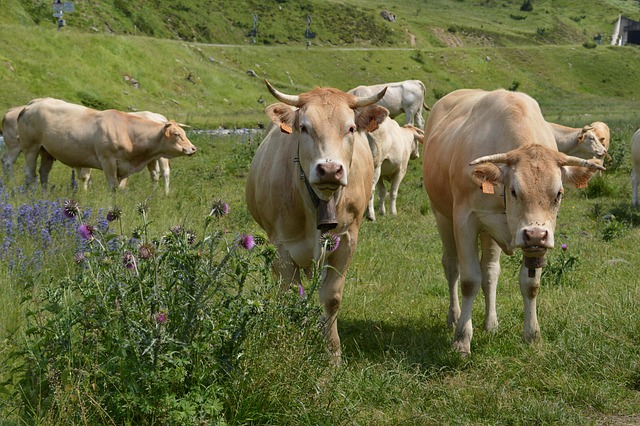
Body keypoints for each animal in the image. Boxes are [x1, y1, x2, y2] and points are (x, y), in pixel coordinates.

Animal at [17, 98, 196, 191]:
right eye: (177, 134)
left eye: (184, 133)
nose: (193, 148)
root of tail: (33, 103)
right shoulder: (107, 160)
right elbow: (113, 186)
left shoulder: (124, 166)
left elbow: (120, 186)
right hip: (31, 147)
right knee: (30, 173)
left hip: (46, 150)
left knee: (43, 172)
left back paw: (44, 192)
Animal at [246, 80, 388, 362]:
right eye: (304, 127)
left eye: (351, 128)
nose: (330, 170)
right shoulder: (282, 247)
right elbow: (292, 295)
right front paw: (293, 342)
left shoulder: (346, 242)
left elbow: (331, 297)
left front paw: (333, 353)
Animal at [422, 88, 604, 355]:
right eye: (514, 190)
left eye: (558, 193)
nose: (535, 234)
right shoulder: (465, 219)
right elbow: (469, 280)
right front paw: (462, 339)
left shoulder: (535, 237)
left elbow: (530, 284)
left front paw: (532, 335)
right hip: (441, 215)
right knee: (452, 266)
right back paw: (454, 316)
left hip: (490, 232)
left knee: (490, 271)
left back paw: (491, 323)